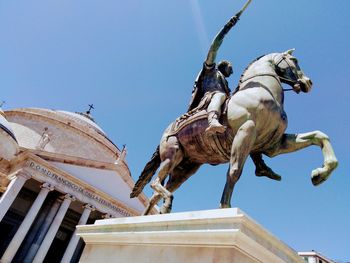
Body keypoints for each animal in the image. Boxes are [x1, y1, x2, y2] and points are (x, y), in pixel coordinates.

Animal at [130, 49, 338, 214]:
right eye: (294, 60)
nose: (308, 82)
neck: (261, 92)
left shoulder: (273, 145)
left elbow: (320, 136)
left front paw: (320, 174)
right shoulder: (246, 131)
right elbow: (234, 171)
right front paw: (225, 206)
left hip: (186, 168)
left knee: (155, 194)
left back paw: (150, 217)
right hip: (172, 155)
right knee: (155, 183)